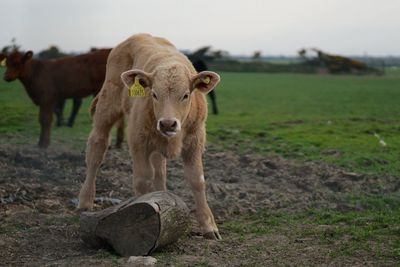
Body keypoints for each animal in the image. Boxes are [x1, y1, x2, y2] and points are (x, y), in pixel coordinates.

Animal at [77, 33, 222, 241]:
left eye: (186, 95)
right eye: (154, 94)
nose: (168, 123)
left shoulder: (195, 141)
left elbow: (197, 180)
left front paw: (208, 226)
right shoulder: (138, 140)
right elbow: (142, 180)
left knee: (160, 170)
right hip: (106, 107)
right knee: (96, 151)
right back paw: (85, 200)